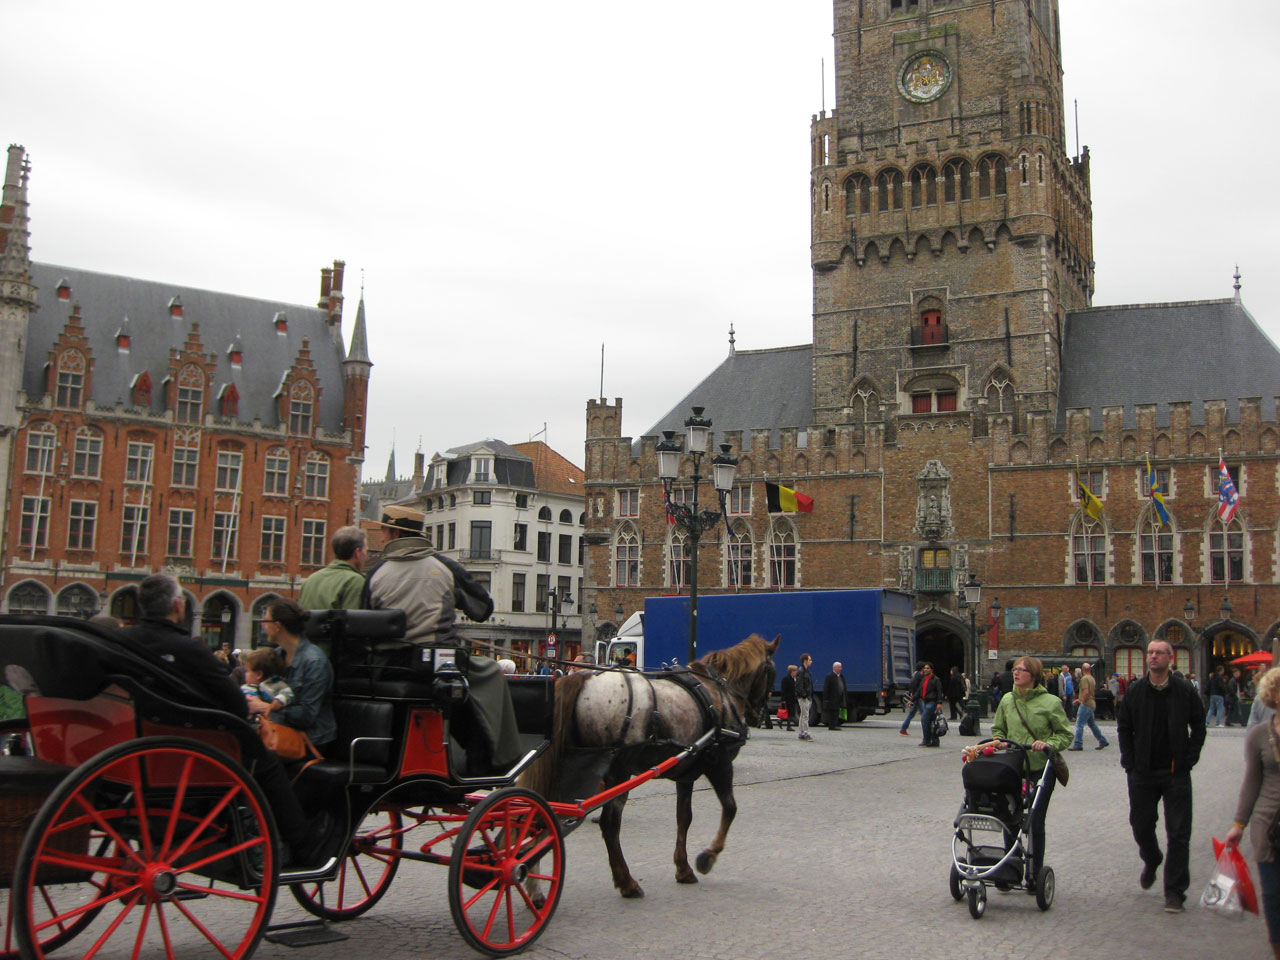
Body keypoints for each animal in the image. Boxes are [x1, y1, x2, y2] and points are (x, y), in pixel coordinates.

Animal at [519, 634, 778, 901]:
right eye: (771, 672)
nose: (759, 716)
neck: (719, 692)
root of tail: (583, 678)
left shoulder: (686, 773)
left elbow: (684, 817)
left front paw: (683, 868)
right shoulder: (720, 762)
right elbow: (730, 808)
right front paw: (707, 857)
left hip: (569, 766)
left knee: (542, 816)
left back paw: (533, 884)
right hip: (618, 772)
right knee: (609, 824)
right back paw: (626, 882)